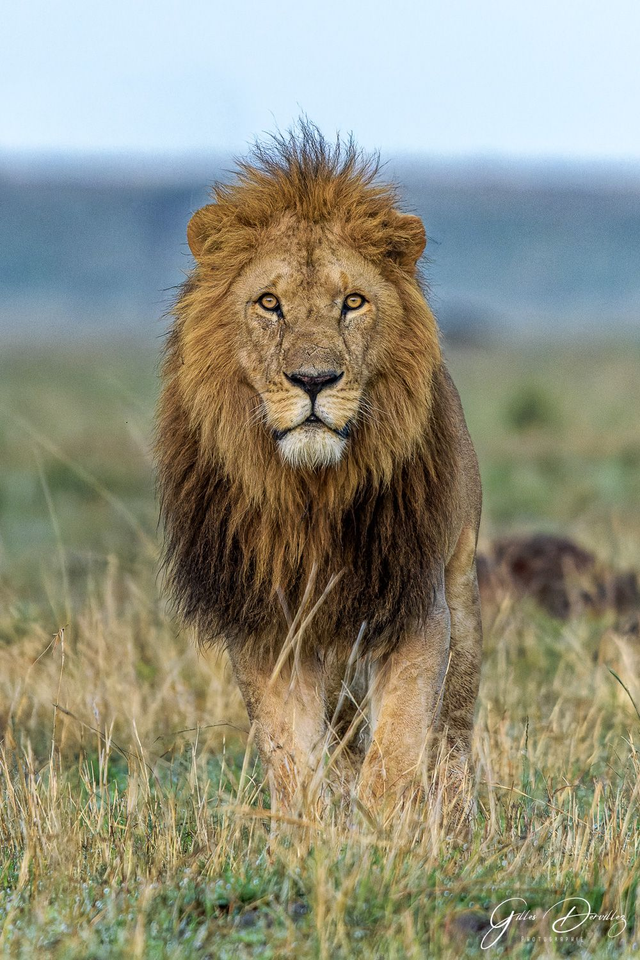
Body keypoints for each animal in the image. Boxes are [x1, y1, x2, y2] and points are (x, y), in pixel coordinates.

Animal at [156, 124, 483, 819]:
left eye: (353, 302)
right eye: (269, 303)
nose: (313, 380)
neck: (311, 493)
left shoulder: (416, 604)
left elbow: (398, 745)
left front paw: (386, 831)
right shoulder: (263, 623)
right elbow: (289, 754)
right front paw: (310, 827)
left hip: (461, 584)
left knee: (452, 726)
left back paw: (454, 812)